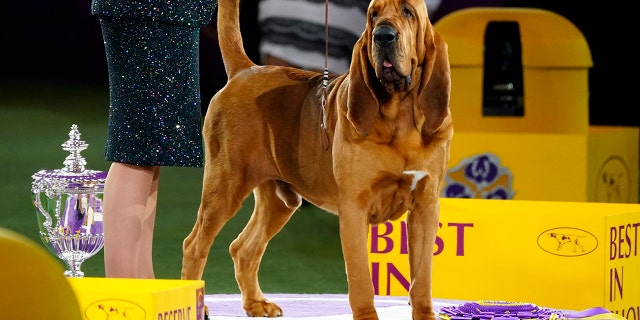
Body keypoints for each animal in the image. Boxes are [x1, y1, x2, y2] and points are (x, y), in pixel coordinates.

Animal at [180, 0, 450, 318]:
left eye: (408, 12)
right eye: (373, 16)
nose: (383, 36)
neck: (401, 115)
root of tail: (245, 70)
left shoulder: (425, 209)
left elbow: (422, 278)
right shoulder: (354, 209)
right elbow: (361, 278)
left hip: (280, 200)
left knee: (243, 248)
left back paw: (257, 303)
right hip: (225, 187)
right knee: (195, 245)